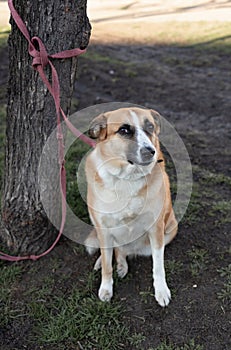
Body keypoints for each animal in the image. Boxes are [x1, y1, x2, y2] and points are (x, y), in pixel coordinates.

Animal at [84, 107, 177, 306]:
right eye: (124, 130)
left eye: (150, 127)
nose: (150, 151)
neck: (127, 178)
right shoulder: (103, 228)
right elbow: (106, 265)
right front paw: (106, 287)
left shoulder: (156, 229)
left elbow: (158, 265)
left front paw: (161, 291)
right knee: (112, 250)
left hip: (171, 229)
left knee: (122, 251)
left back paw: (121, 264)